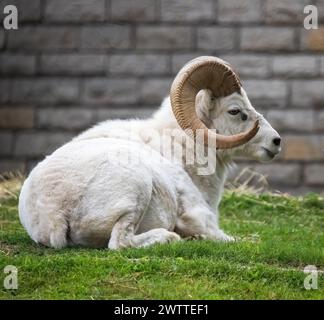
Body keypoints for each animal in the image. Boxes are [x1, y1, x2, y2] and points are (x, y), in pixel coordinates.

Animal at [18, 56, 280, 249]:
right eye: (235, 111)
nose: (276, 142)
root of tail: (56, 212)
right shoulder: (199, 217)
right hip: (137, 189)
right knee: (120, 243)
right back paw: (170, 237)